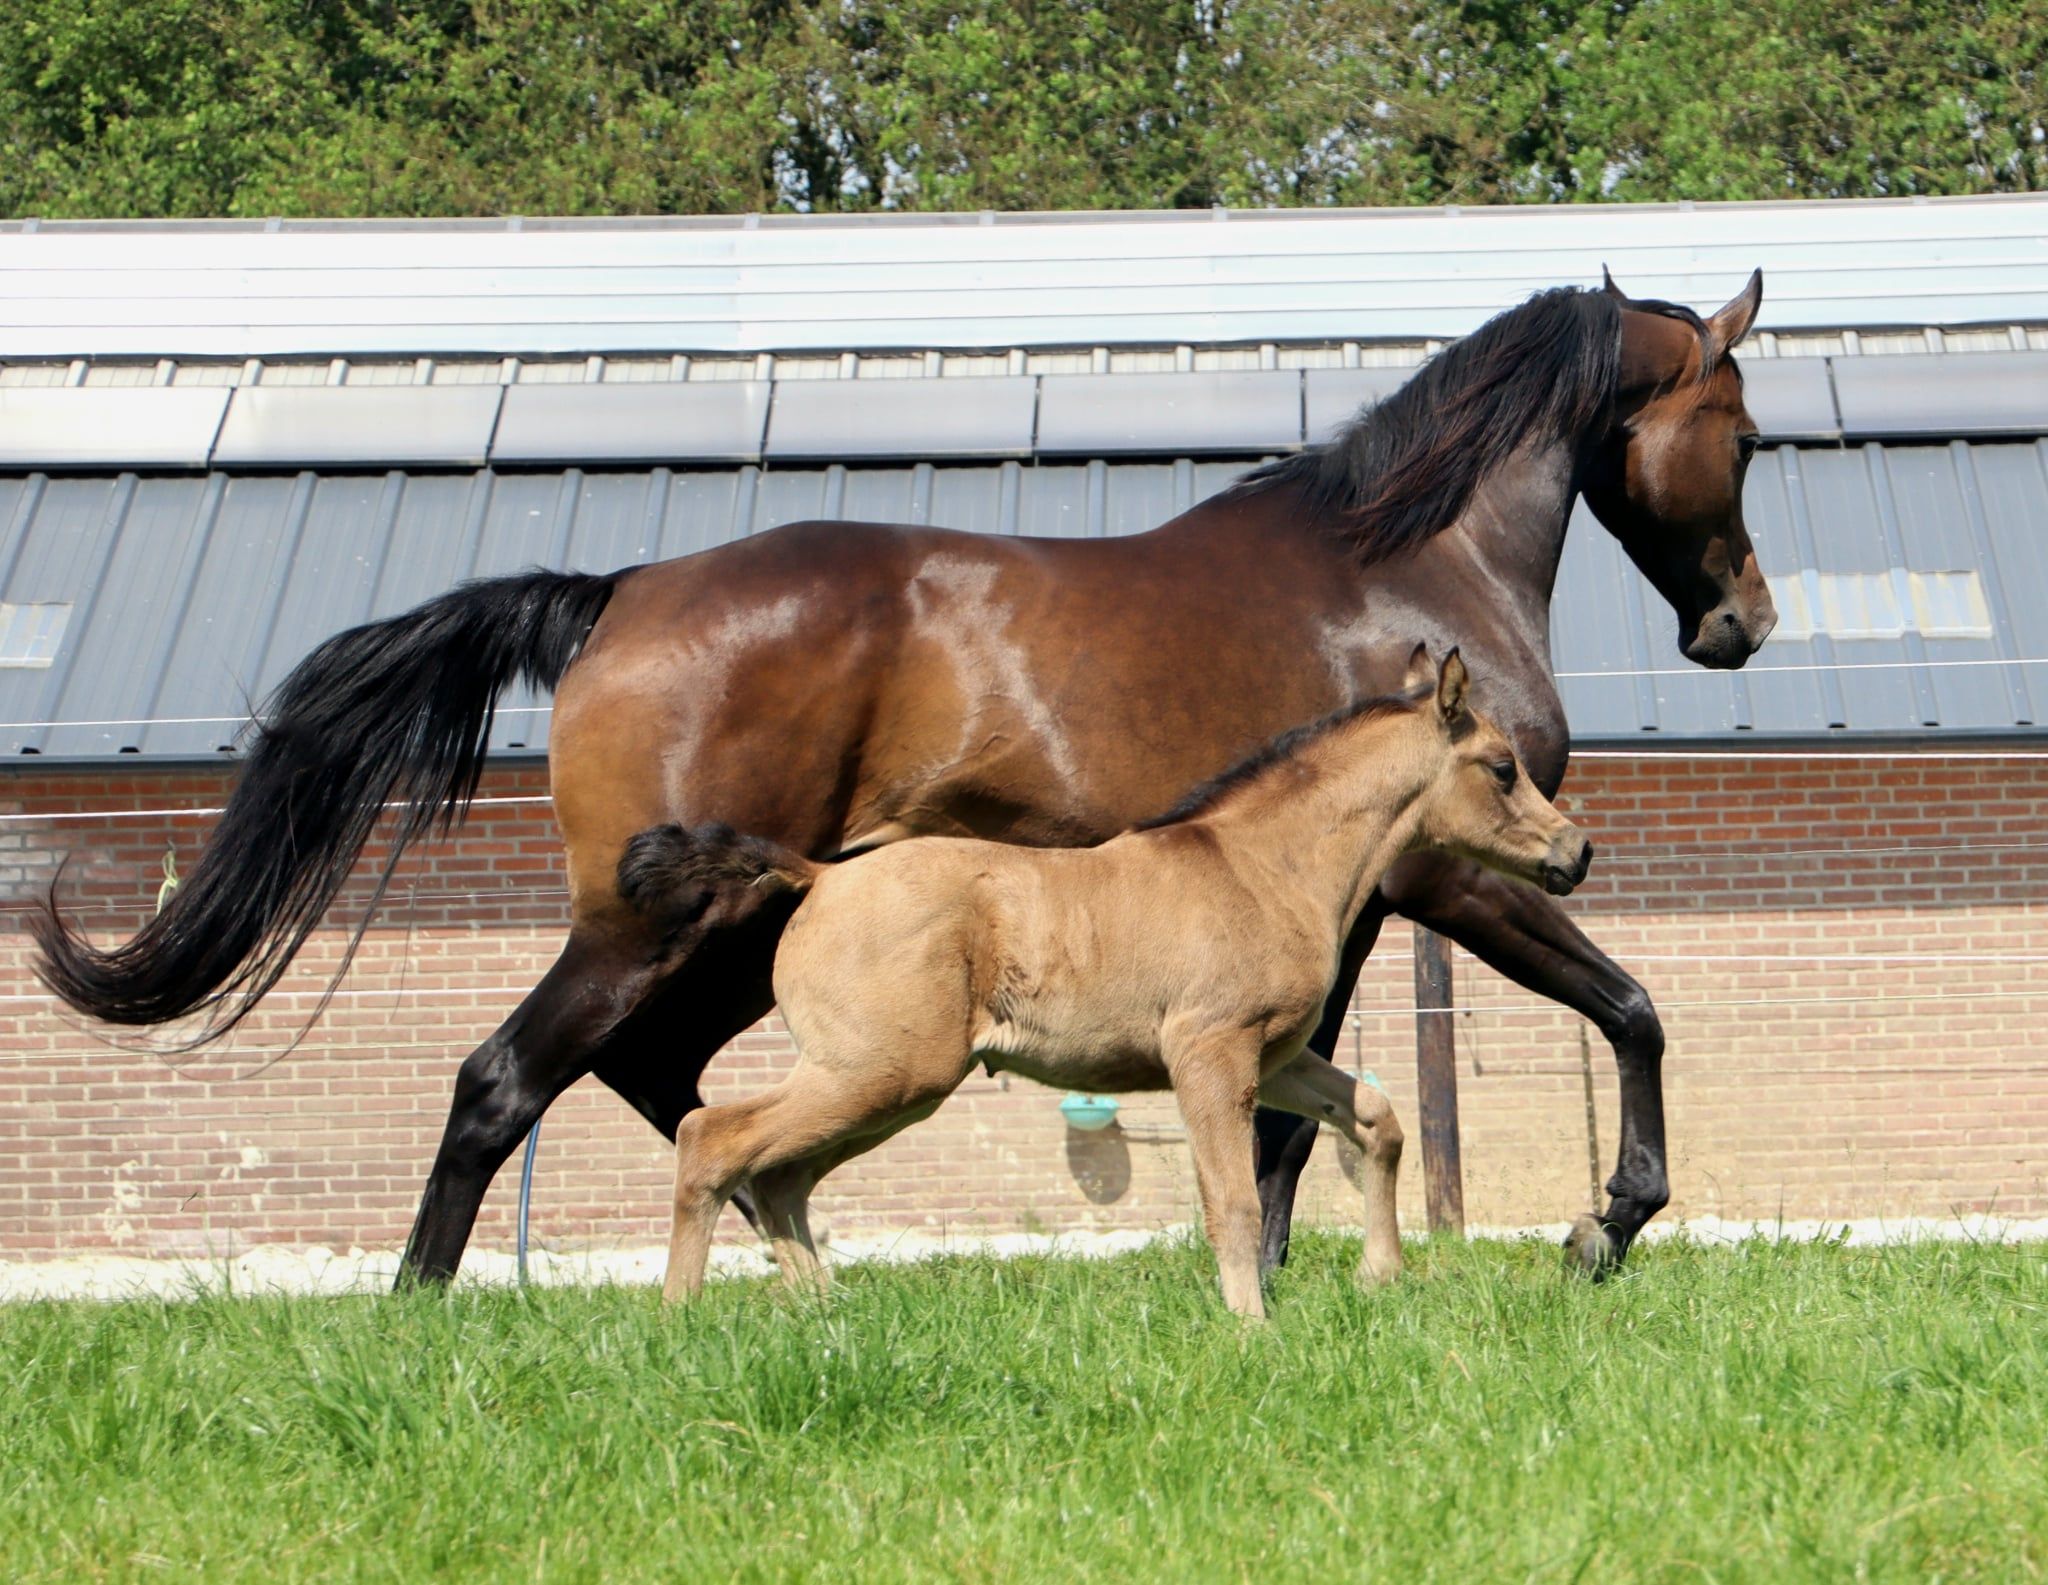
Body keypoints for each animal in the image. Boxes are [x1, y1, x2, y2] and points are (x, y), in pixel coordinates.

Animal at [638, 648, 1590, 1317]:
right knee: (712, 1139)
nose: (1575, 852)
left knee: (781, 1174)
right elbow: (1231, 1200)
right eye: (1502, 766)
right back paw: (682, 1318)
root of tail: (816, 878)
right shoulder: (1209, 1052)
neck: (1266, 864)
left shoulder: (1276, 1057)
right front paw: (1252, 1325)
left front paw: (1380, 1275)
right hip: (880, 1072)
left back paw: (822, 1312)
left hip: (885, 1086)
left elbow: (1376, 1121)